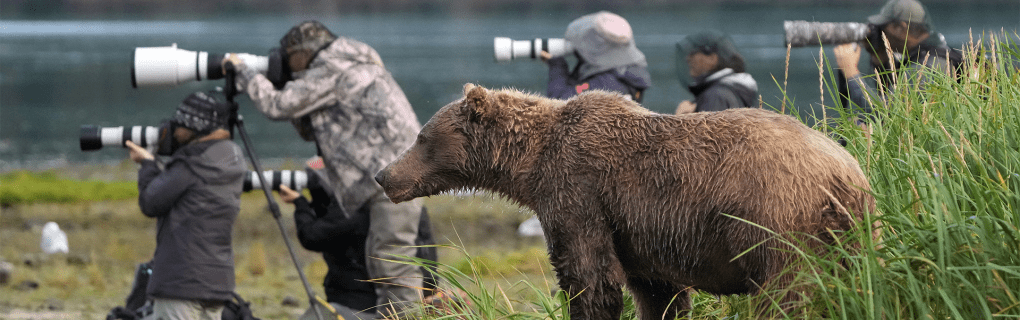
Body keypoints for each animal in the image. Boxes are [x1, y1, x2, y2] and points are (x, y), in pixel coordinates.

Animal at [375, 83, 877, 317]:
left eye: (420, 136)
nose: (384, 175)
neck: (532, 166)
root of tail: (847, 171)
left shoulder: (577, 192)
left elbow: (590, 280)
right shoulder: (639, 232)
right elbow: (657, 293)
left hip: (776, 221)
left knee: (788, 294)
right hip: (848, 234)